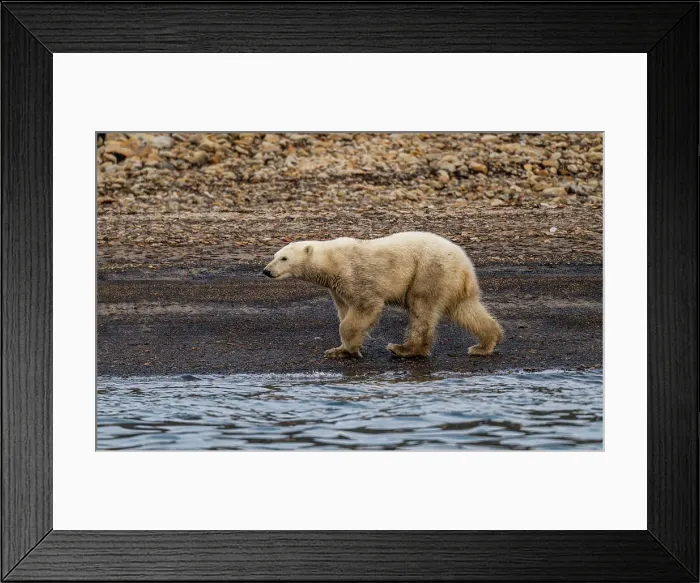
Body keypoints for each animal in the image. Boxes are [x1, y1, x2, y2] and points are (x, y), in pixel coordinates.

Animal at [262, 232, 503, 359]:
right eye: (274, 255)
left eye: (283, 258)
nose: (266, 271)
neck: (331, 261)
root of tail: (466, 264)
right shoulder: (337, 288)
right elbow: (344, 310)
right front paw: (338, 350)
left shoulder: (355, 275)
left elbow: (365, 307)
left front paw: (352, 350)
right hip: (451, 282)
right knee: (466, 309)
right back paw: (484, 345)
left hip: (429, 271)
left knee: (422, 309)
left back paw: (404, 349)